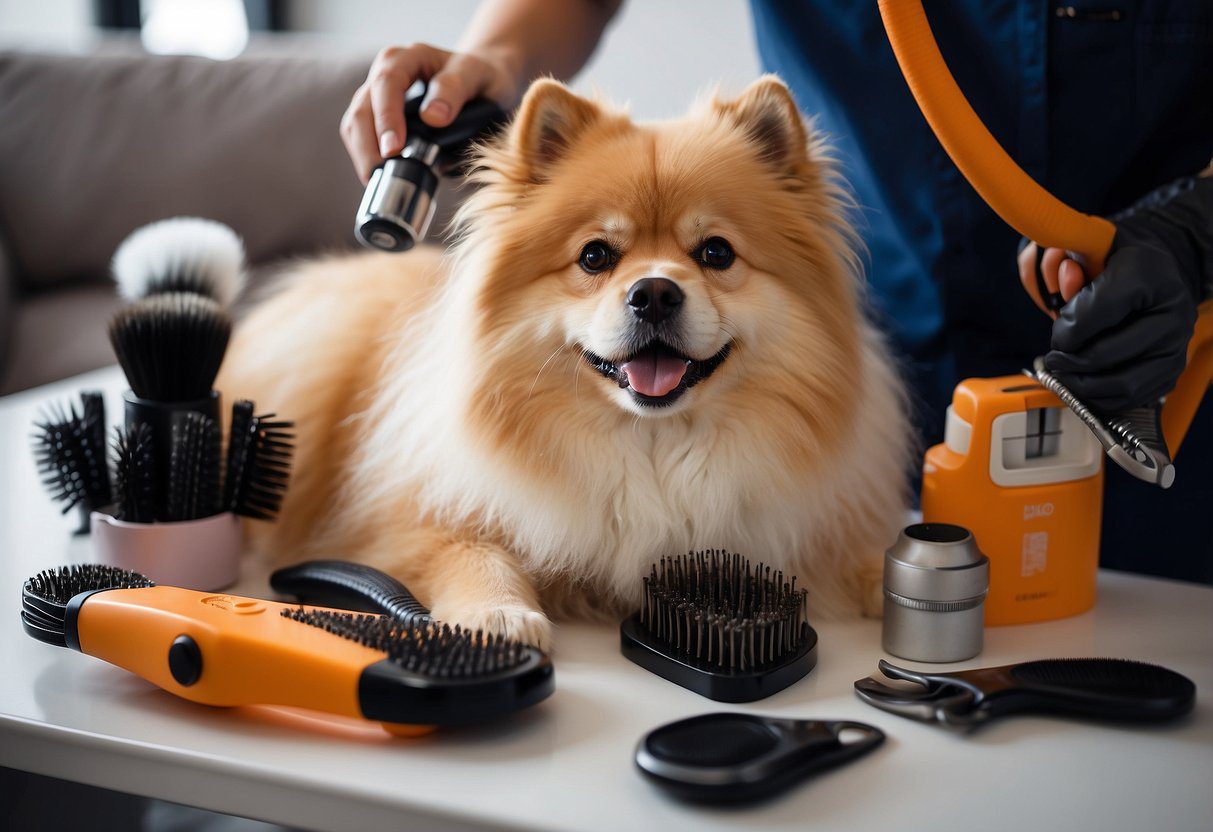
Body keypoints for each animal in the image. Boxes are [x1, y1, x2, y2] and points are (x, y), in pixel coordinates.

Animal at [120, 76, 912, 650]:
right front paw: (498, 615)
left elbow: (871, 559)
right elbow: (471, 553)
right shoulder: (397, 529)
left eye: (716, 253)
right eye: (595, 257)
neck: (649, 447)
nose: (654, 292)